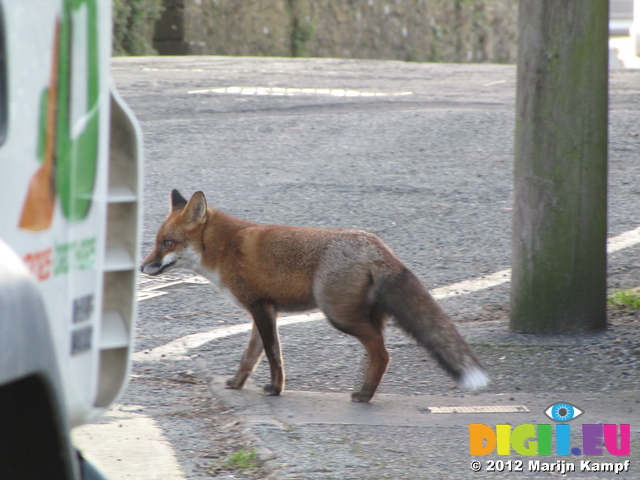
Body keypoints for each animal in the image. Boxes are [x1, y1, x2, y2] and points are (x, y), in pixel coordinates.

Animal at [141, 189, 490, 404]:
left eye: (167, 243)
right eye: (157, 242)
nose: (143, 267)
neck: (225, 248)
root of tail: (375, 244)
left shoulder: (260, 308)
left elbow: (273, 356)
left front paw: (275, 389)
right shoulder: (264, 309)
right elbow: (251, 356)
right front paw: (237, 384)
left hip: (339, 315)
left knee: (382, 354)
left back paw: (364, 395)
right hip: (362, 316)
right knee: (375, 354)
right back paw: (364, 390)